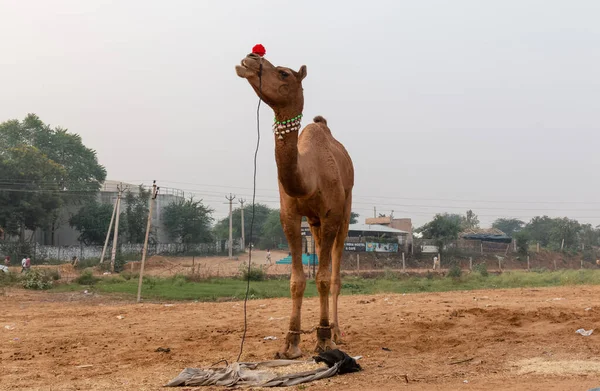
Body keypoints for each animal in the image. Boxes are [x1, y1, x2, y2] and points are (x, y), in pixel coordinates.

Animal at [236, 53, 356, 360]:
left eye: (283, 73)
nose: (250, 58)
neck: (308, 177)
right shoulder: (289, 216)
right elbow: (296, 280)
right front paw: (290, 343)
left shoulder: (331, 215)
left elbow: (323, 278)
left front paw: (323, 340)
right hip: (313, 223)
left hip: (345, 211)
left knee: (335, 272)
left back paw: (336, 331)